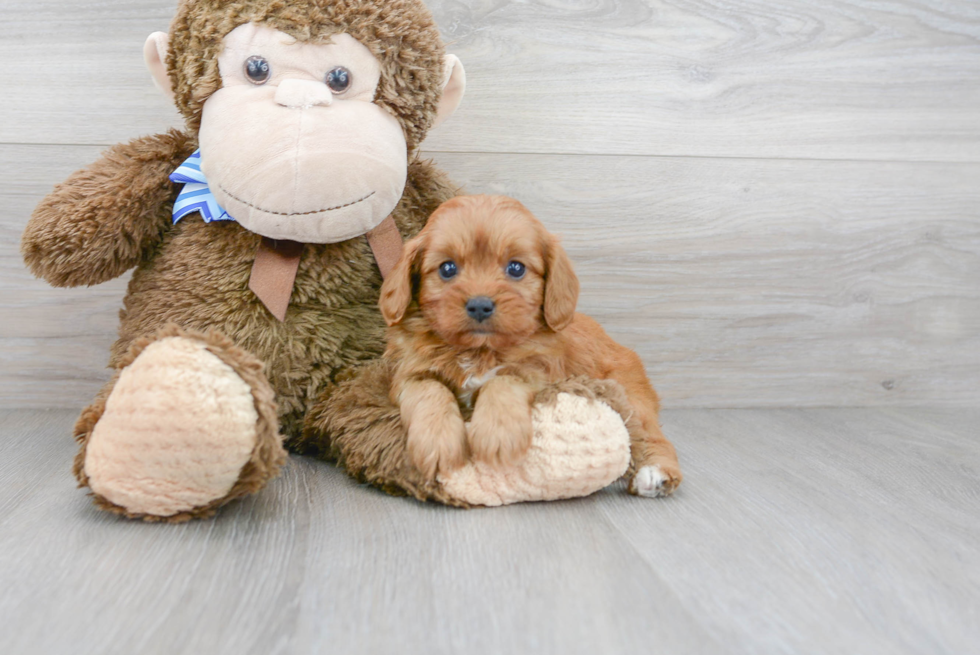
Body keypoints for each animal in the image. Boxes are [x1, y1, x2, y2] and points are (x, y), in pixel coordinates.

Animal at [380, 195, 680, 498]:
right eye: (447, 268)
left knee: (651, 435)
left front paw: (498, 433)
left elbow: (503, 380)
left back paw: (656, 473)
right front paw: (438, 441)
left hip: (631, 395)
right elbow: (429, 390)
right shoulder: (408, 374)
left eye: (516, 268)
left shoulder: (540, 370)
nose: (479, 305)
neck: (479, 351)